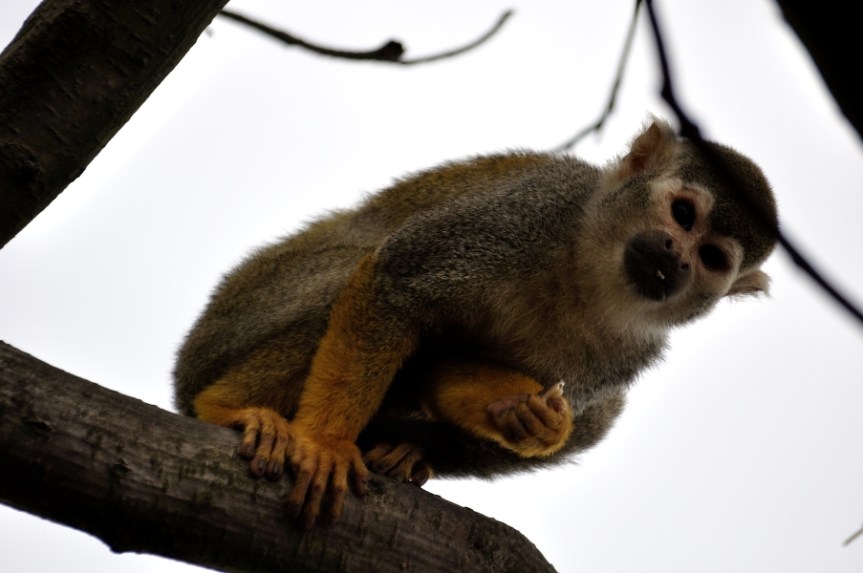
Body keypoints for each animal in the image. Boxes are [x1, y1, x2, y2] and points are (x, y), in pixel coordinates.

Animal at [173, 119, 778, 528]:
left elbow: (448, 369)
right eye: (682, 215)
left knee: (599, 415)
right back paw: (226, 409)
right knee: (357, 266)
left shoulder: (630, 348)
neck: (589, 274)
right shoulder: (528, 211)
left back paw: (410, 452)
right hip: (242, 312)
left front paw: (531, 417)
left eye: (713, 259)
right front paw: (323, 442)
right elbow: (393, 281)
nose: (676, 258)